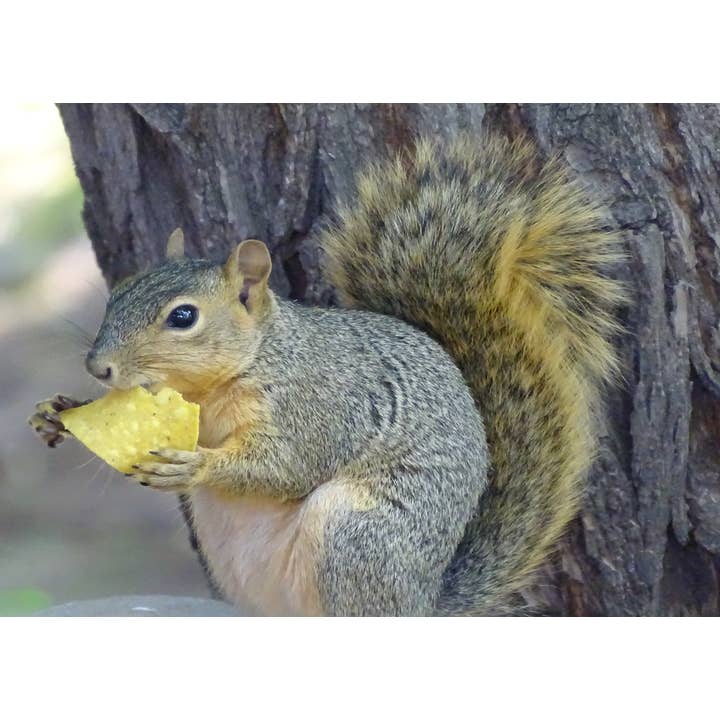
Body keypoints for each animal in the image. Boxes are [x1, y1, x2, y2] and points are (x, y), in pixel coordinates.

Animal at [29, 134, 624, 616]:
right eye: (121, 289)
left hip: (355, 537)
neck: (241, 369)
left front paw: (197, 464)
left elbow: (287, 466)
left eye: (183, 317)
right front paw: (57, 412)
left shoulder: (319, 405)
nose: (98, 367)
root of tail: (423, 605)